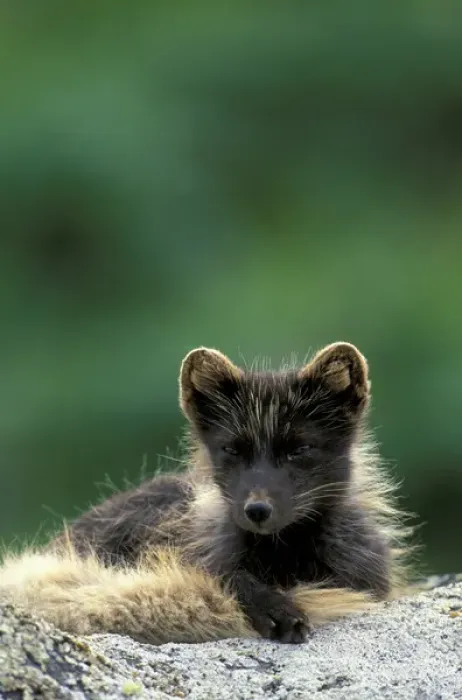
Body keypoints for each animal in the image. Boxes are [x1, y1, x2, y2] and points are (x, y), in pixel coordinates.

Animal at [0, 342, 413, 645]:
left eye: (299, 449)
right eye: (232, 450)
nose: (257, 510)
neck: (282, 554)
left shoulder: (367, 580)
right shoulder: (199, 555)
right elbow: (226, 576)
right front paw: (276, 609)